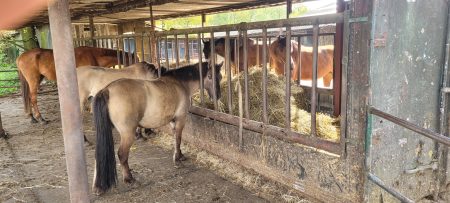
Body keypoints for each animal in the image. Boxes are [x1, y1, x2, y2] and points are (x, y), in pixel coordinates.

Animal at [92, 61, 223, 194]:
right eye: (210, 76)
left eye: (220, 77)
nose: (217, 96)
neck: (180, 83)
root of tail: (107, 90)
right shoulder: (180, 119)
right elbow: (178, 139)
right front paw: (177, 160)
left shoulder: (172, 121)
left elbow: (175, 139)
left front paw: (180, 156)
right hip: (127, 133)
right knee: (122, 154)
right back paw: (129, 179)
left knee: (99, 154)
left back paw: (98, 187)